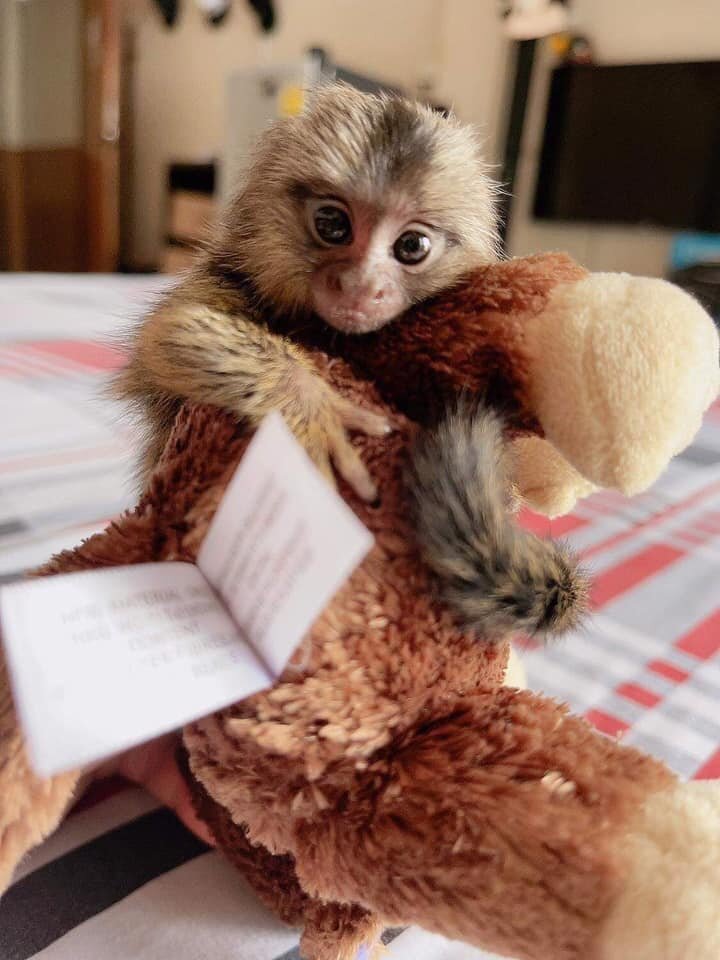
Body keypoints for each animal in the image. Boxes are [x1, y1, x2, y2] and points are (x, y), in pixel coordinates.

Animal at [114, 81, 586, 640]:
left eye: (412, 246)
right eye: (332, 225)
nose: (362, 285)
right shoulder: (227, 280)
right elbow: (170, 335)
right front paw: (311, 406)